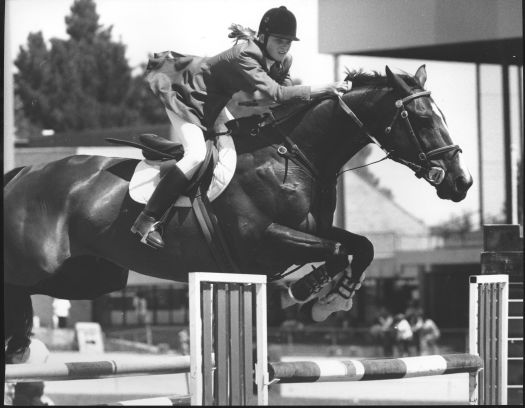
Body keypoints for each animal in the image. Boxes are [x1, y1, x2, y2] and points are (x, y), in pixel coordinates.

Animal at [3, 64, 470, 360]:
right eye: (421, 119)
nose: (461, 181)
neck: (296, 156)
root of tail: (25, 171)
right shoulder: (264, 241)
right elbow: (336, 252)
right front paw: (310, 293)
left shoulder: (316, 230)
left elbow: (362, 246)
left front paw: (333, 297)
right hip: (40, 265)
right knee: (16, 285)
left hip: (93, 276)